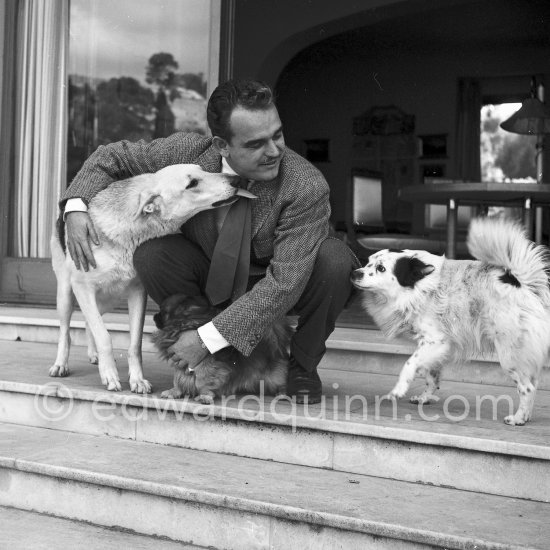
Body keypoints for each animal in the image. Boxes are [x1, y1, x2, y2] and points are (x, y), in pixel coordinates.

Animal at [50, 164, 249, 392]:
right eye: (192, 183)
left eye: (203, 170)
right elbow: (104, 336)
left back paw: (93, 355)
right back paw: (61, 364)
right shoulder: (83, 288)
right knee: (66, 331)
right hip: (66, 295)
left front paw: (137, 379)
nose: (237, 180)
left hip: (107, 300)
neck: (129, 230)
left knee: (88, 321)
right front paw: (109, 375)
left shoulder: (137, 292)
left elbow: (134, 343)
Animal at [151, 296, 288, 404]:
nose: (154, 316)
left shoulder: (206, 367)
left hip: (273, 376)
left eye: (162, 312)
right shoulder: (181, 362)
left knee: (281, 383)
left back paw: (282, 393)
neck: (186, 324)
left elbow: (202, 382)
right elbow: (178, 380)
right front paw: (174, 392)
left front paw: (205, 396)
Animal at [354, 217, 550, 426]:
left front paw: (399, 389)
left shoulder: (435, 341)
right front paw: (425, 397)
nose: (355, 273)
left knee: (527, 387)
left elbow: (409, 364)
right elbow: (431, 375)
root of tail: (523, 285)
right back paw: (525, 415)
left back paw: (519, 418)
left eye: (381, 268)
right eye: (367, 262)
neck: (419, 288)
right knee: (533, 382)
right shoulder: (435, 347)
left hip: (509, 354)